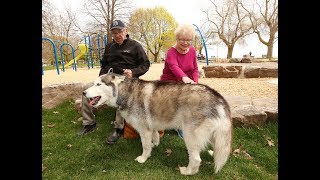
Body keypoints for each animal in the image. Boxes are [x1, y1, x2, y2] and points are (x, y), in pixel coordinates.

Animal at [82, 72, 232, 175]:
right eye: (94, 83)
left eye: (99, 84)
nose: (83, 92)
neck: (126, 92)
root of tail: (219, 98)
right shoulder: (151, 126)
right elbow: (154, 137)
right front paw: (155, 144)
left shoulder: (144, 129)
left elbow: (145, 146)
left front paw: (143, 158)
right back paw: (213, 153)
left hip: (190, 136)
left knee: (196, 159)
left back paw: (187, 171)